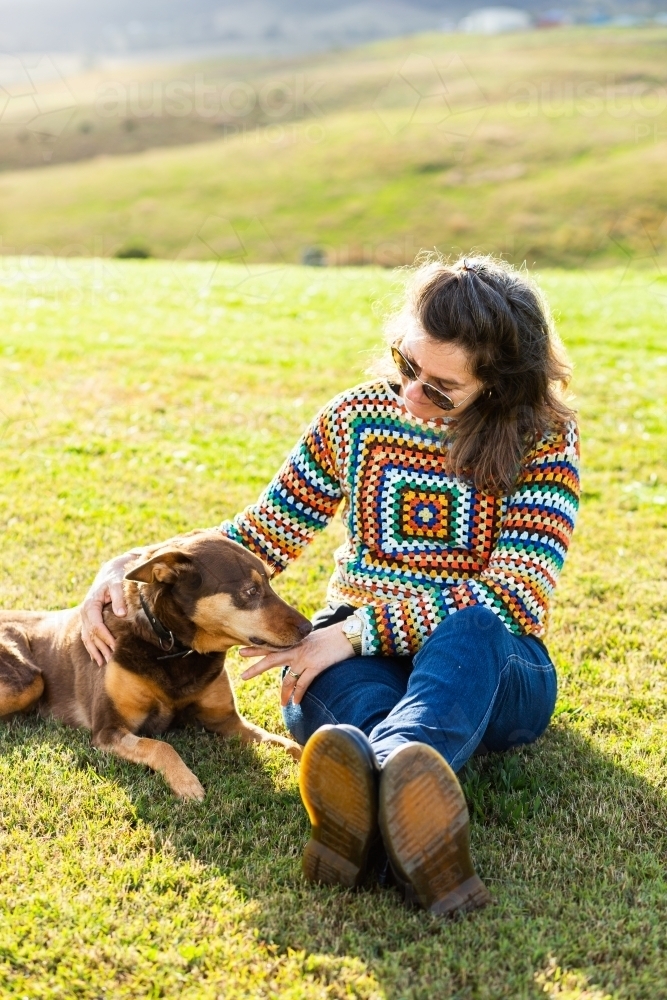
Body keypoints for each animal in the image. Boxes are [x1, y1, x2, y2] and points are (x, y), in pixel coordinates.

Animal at [0, 532, 314, 796]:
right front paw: (187, 783)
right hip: (28, 682)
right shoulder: (108, 730)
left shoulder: (227, 721)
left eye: (269, 581)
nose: (309, 627)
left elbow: (287, 743)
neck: (176, 648)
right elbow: (160, 746)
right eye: (250, 591)